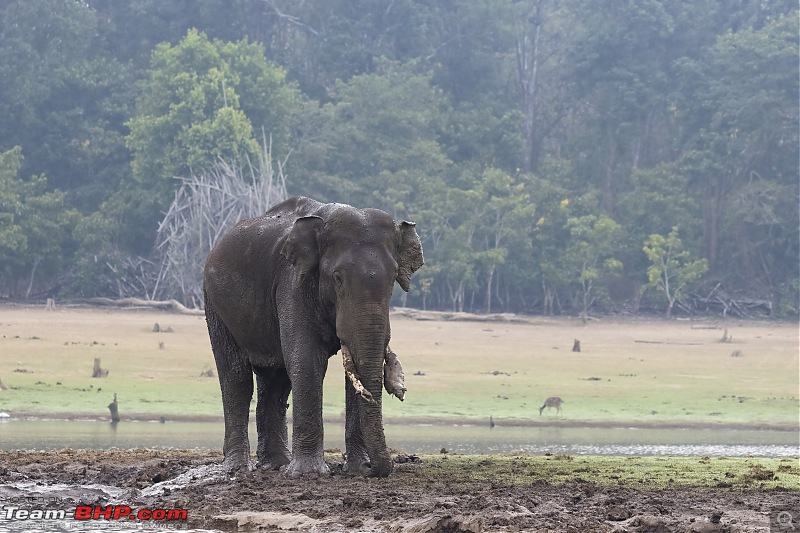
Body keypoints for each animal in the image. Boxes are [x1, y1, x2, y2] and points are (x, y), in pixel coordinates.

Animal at [203, 195, 422, 478]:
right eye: (337, 278)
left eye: (394, 279)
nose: (372, 469)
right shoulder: (293, 282)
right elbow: (306, 360)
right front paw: (308, 473)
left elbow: (348, 371)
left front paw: (355, 469)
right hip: (215, 303)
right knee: (237, 377)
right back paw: (239, 469)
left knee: (276, 380)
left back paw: (277, 464)